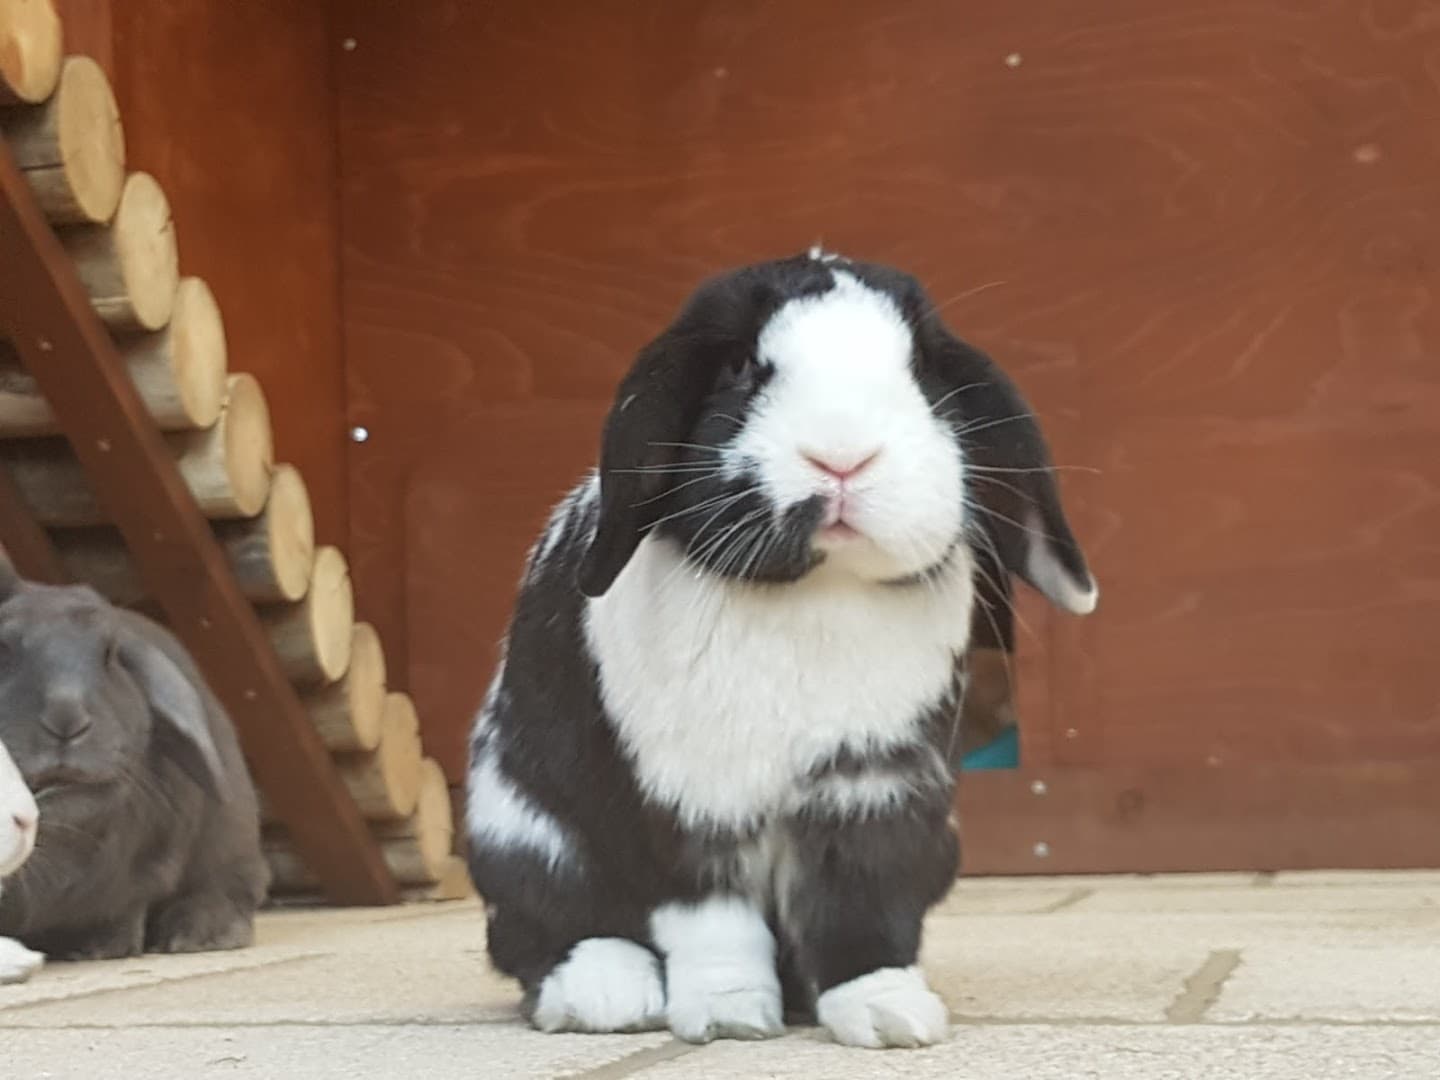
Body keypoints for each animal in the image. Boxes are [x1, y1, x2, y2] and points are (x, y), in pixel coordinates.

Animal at [0, 554, 269, 961]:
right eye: (3, 648)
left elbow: (127, 909)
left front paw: (99, 948)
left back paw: (196, 935)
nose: (67, 718)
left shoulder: (143, 876)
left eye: (110, 653)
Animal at [463, 250, 1097, 1049]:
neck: (816, 591)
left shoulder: (870, 791)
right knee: (540, 931)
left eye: (921, 369)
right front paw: (729, 1016)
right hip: (517, 836)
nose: (843, 458)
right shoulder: (688, 809)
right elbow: (712, 924)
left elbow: (858, 902)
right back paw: (606, 995)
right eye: (739, 367)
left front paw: (888, 1014)